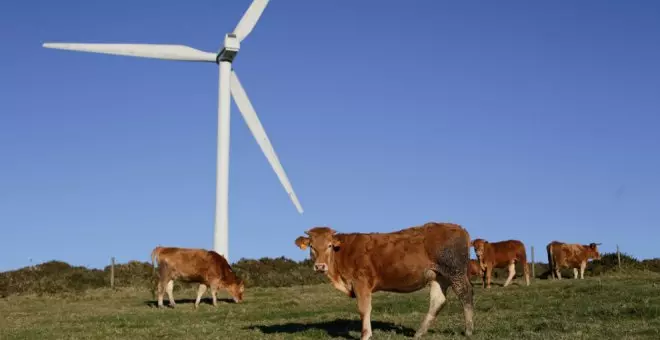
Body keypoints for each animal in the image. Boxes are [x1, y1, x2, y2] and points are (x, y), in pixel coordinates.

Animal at [294, 222, 474, 338]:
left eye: (329, 245)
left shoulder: (361, 283)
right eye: (311, 246)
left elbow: (364, 309)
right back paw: (419, 332)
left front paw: (366, 335)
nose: (320, 266)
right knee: (438, 300)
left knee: (466, 295)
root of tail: (460, 228)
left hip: (455, 271)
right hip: (439, 276)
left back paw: (469, 330)